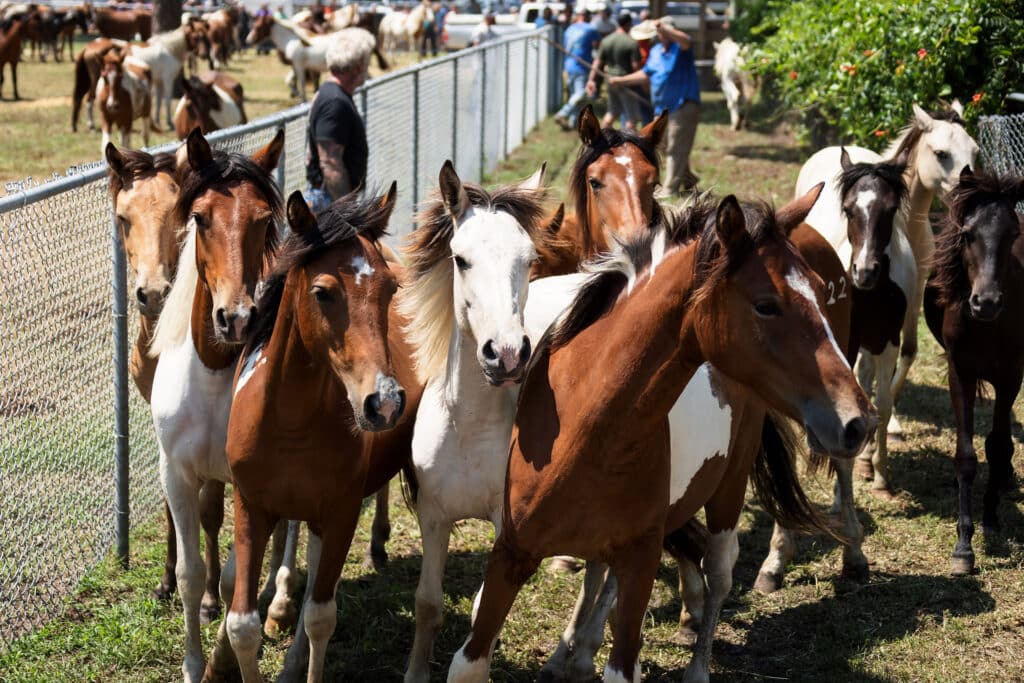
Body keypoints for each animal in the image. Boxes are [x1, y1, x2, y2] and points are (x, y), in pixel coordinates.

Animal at [146, 129, 294, 683]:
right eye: (201, 217)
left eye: (263, 220)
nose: (236, 318)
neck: (211, 372)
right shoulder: (176, 473)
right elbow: (191, 574)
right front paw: (194, 665)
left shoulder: (252, 484)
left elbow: (232, 578)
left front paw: (224, 657)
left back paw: (280, 601)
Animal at [446, 191, 872, 683]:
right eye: (766, 304)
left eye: (822, 293)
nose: (857, 421)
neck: (581, 429)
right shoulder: (510, 552)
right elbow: (470, 658)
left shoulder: (641, 562)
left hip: (728, 488)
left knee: (718, 572)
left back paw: (690, 665)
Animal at [921, 169, 1024, 577]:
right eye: (967, 234)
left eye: (1012, 234)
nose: (986, 302)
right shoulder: (960, 373)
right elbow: (966, 456)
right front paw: (964, 547)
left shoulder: (1011, 376)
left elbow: (998, 445)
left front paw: (991, 518)